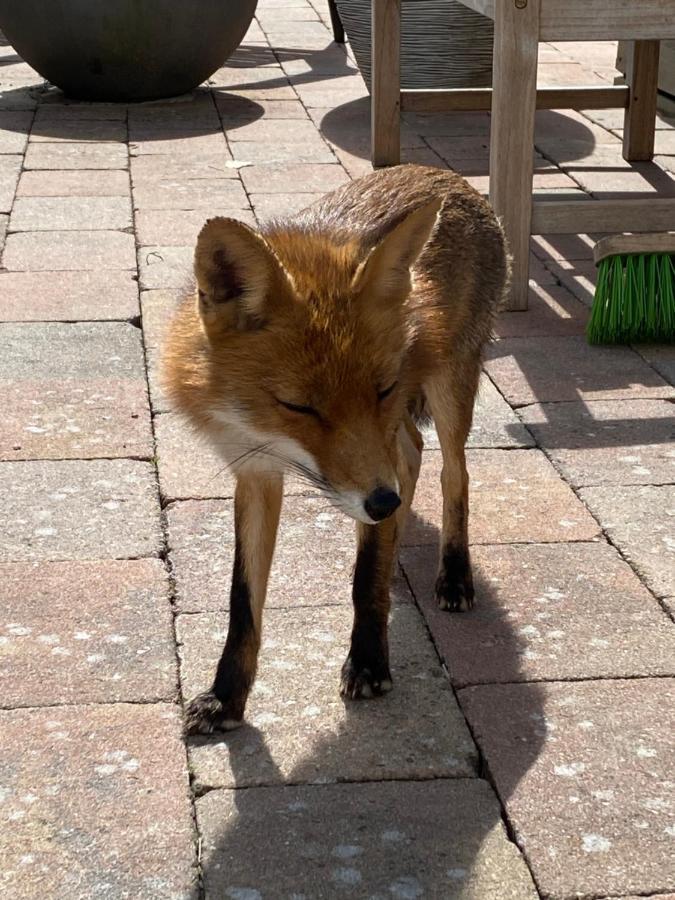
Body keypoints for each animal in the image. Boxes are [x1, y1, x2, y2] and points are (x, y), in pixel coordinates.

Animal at [164, 165, 510, 736]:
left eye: (383, 388)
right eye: (299, 406)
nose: (384, 505)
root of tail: (449, 177)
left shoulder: (382, 445)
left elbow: (365, 579)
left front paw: (369, 662)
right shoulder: (256, 471)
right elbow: (243, 600)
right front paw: (226, 696)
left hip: (450, 387)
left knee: (453, 474)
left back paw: (454, 573)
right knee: (416, 453)